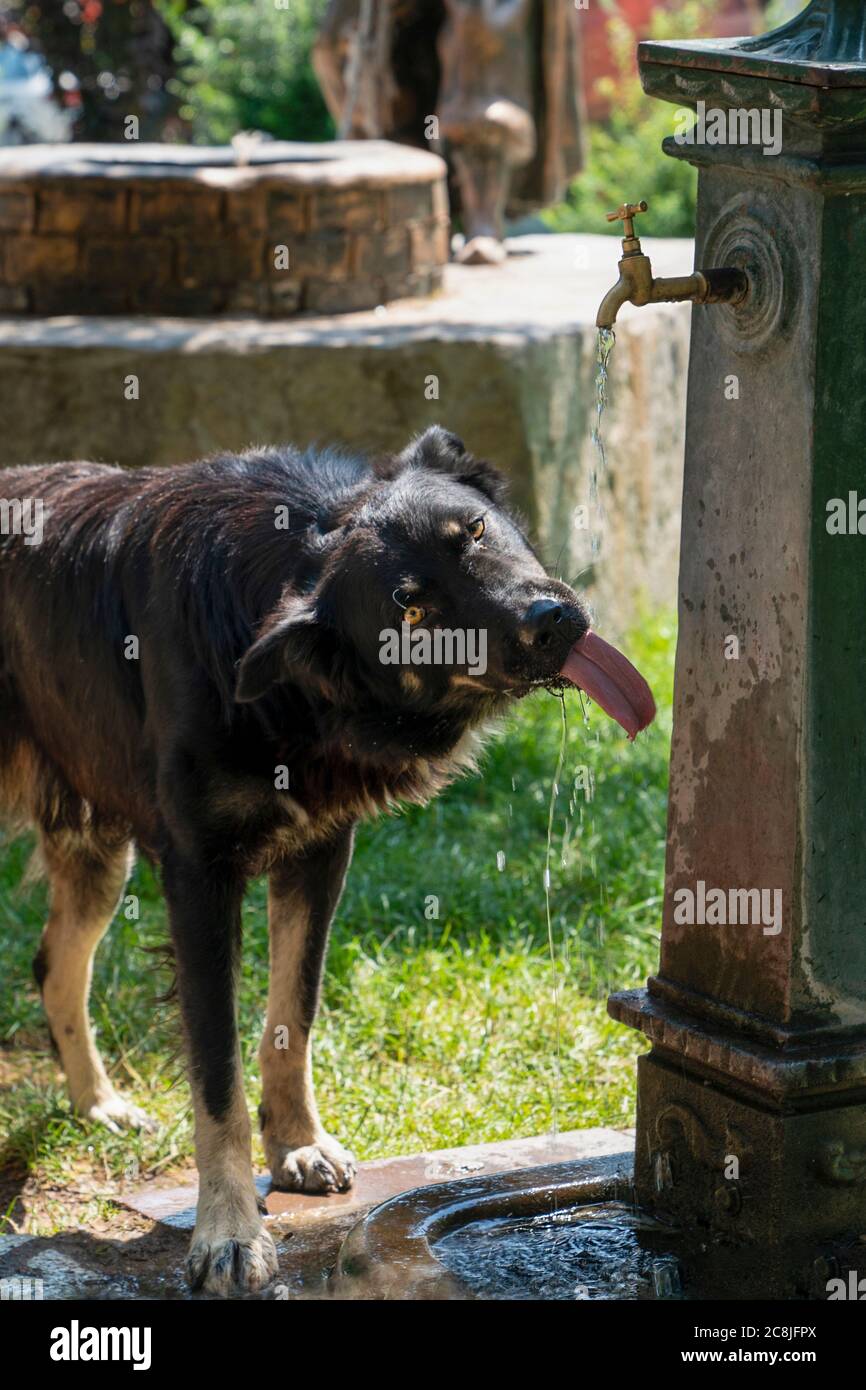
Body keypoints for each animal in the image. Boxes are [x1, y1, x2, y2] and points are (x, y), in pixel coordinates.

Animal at [0, 428, 650, 1295]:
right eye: (412, 607)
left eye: (475, 530)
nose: (552, 623)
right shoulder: (198, 873)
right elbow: (217, 1074)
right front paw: (228, 1231)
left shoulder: (318, 853)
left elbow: (292, 1015)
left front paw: (297, 1146)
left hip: (97, 846)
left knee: (54, 963)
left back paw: (98, 1103)